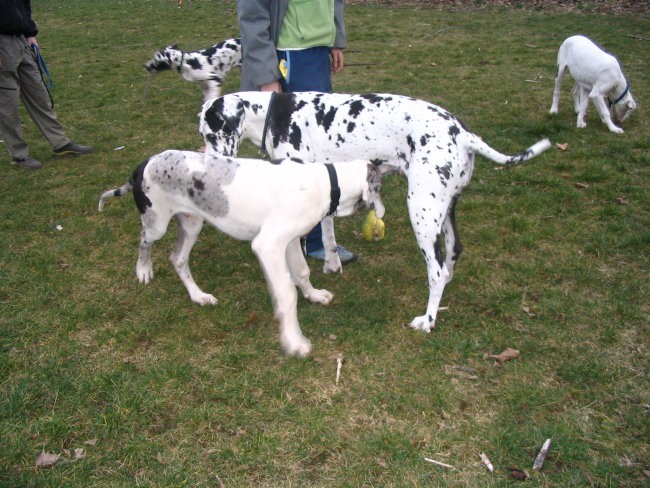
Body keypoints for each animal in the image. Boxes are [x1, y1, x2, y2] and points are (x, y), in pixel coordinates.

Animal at [98, 151, 382, 356]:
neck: (326, 181)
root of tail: (145, 163)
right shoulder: (268, 245)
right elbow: (287, 294)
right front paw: (294, 341)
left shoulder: (289, 241)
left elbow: (301, 272)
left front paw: (314, 295)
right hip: (156, 224)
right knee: (144, 242)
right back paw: (143, 269)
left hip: (192, 223)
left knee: (177, 258)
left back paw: (199, 296)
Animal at [199, 90, 552, 336]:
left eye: (210, 132)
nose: (208, 163)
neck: (275, 115)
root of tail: (463, 133)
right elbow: (328, 234)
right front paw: (332, 265)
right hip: (445, 212)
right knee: (451, 256)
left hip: (421, 213)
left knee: (436, 270)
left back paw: (428, 320)